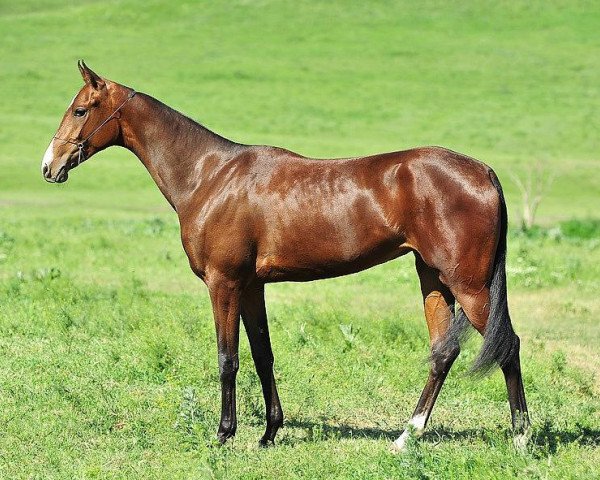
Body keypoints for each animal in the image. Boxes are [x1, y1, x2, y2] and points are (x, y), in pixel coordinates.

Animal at [42, 60, 528, 450]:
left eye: (81, 110)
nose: (49, 165)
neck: (209, 175)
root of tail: (483, 171)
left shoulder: (223, 283)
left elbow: (228, 359)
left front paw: (224, 434)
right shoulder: (251, 286)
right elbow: (263, 355)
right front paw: (269, 432)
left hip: (470, 286)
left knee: (507, 344)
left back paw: (522, 438)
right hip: (433, 278)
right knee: (443, 351)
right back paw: (405, 437)